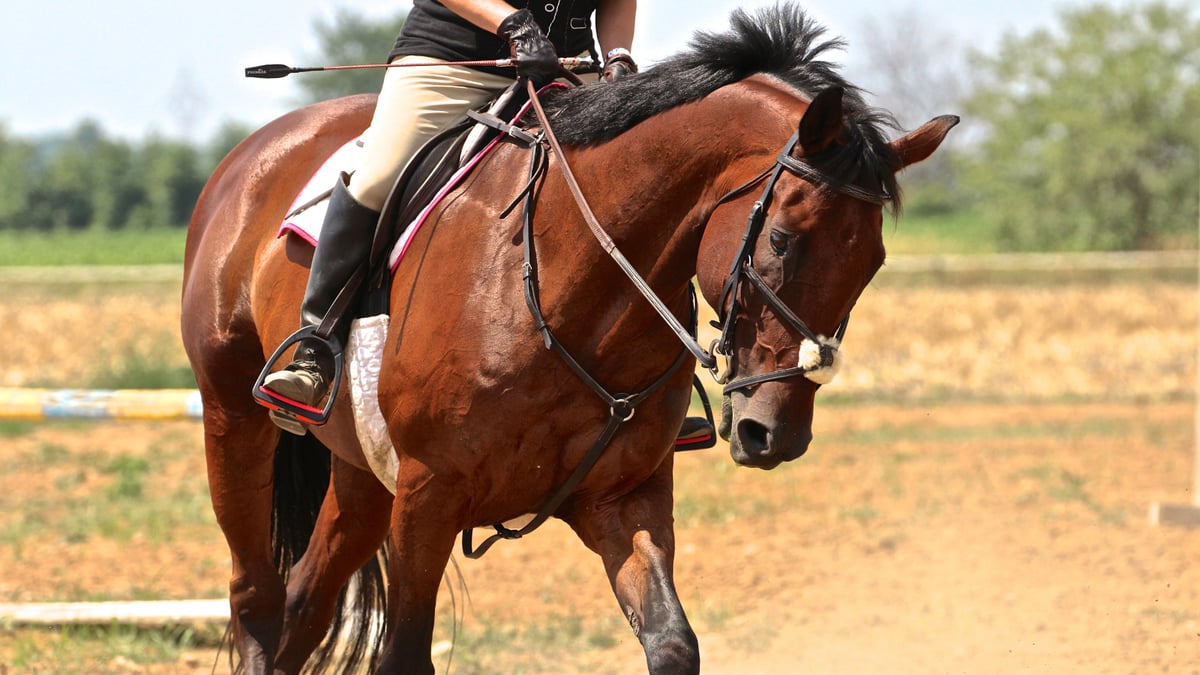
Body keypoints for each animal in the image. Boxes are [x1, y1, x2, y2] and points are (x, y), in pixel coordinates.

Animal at [181, 5, 956, 673]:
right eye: (782, 240)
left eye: (872, 263)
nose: (776, 432)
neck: (564, 276)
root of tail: (253, 153)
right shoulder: (429, 493)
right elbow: (403, 654)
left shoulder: (621, 496)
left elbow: (671, 642)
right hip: (234, 415)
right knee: (256, 596)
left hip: (362, 467)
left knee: (305, 601)